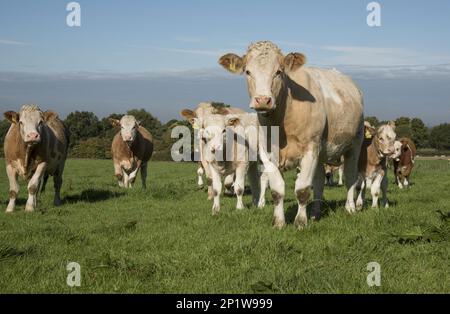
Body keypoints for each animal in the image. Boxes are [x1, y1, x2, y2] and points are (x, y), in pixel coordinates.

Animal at [220, 41, 364, 228]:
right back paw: (315, 213)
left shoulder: (310, 148)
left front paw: (300, 222)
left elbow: (302, 189)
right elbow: (277, 190)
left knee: (350, 177)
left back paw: (350, 208)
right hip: (321, 151)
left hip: (355, 143)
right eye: (247, 71)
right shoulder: (268, 153)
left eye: (278, 72)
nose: (262, 100)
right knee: (319, 181)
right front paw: (279, 222)